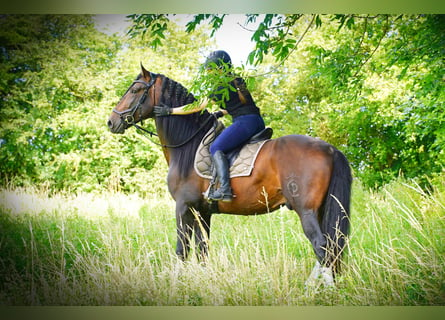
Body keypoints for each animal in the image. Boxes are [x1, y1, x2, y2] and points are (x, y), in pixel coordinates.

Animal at [106, 63, 350, 286]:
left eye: (135, 90)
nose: (111, 121)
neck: (188, 144)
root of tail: (328, 148)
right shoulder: (202, 211)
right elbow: (202, 250)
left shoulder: (184, 207)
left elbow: (181, 249)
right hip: (320, 209)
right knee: (330, 247)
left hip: (306, 210)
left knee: (322, 246)